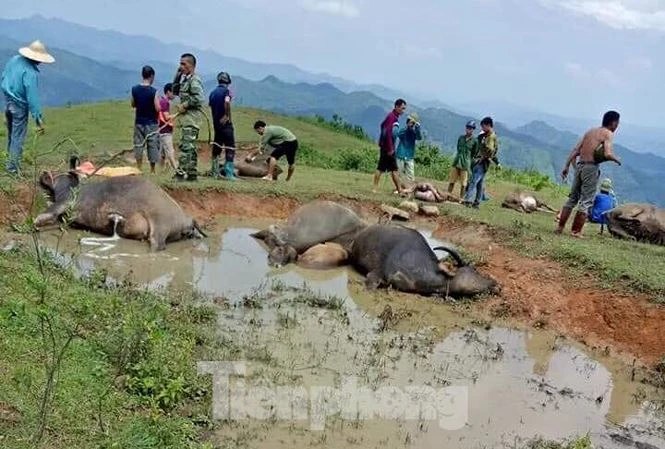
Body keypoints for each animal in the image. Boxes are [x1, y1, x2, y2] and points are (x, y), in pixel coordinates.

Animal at [33, 164, 205, 250]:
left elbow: (48, 212)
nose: (43, 172)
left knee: (157, 244)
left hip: (160, 226)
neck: (70, 189)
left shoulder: (64, 202)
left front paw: (34, 222)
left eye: (56, 170)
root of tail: (187, 218)